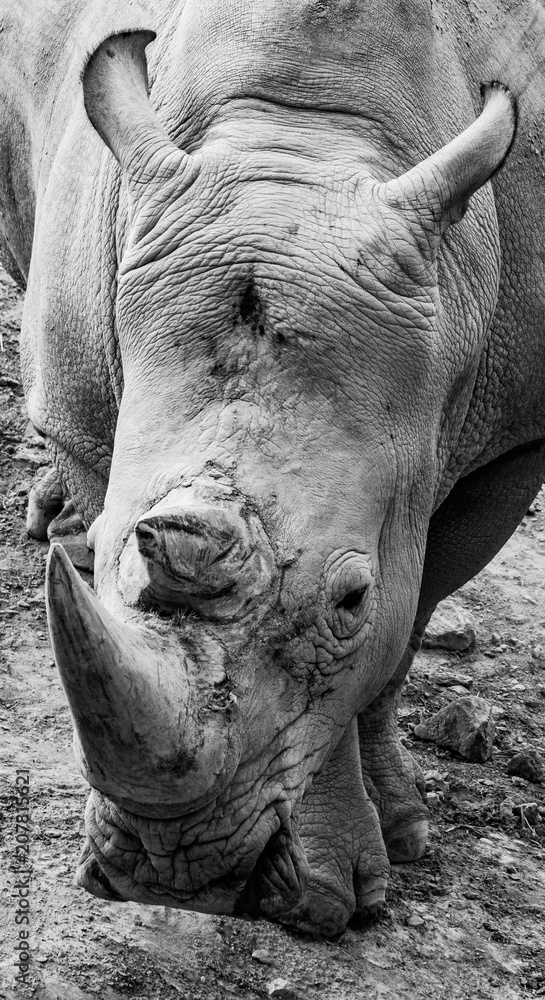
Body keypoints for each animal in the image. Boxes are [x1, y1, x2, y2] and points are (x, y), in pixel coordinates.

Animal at [3, 0, 544, 937]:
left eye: (351, 597)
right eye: (109, 553)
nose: (169, 870)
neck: (305, 140)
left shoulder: (513, 438)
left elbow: (399, 626)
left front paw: (377, 859)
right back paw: (52, 523)